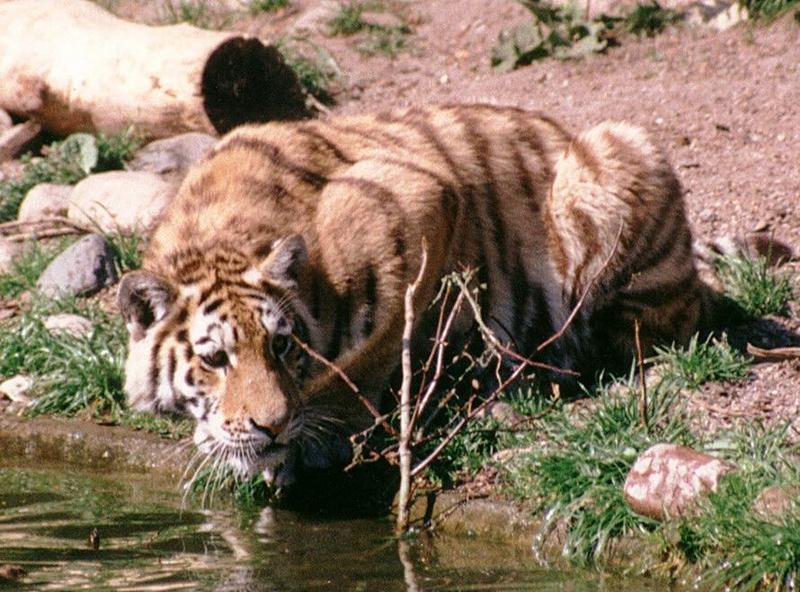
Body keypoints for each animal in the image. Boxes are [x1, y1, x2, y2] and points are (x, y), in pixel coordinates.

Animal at [117, 104, 708, 488]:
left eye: (281, 346)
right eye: (215, 359)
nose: (273, 426)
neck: (216, 235)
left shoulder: (419, 202)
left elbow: (368, 357)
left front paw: (327, 433)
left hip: (613, 156)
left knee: (650, 329)